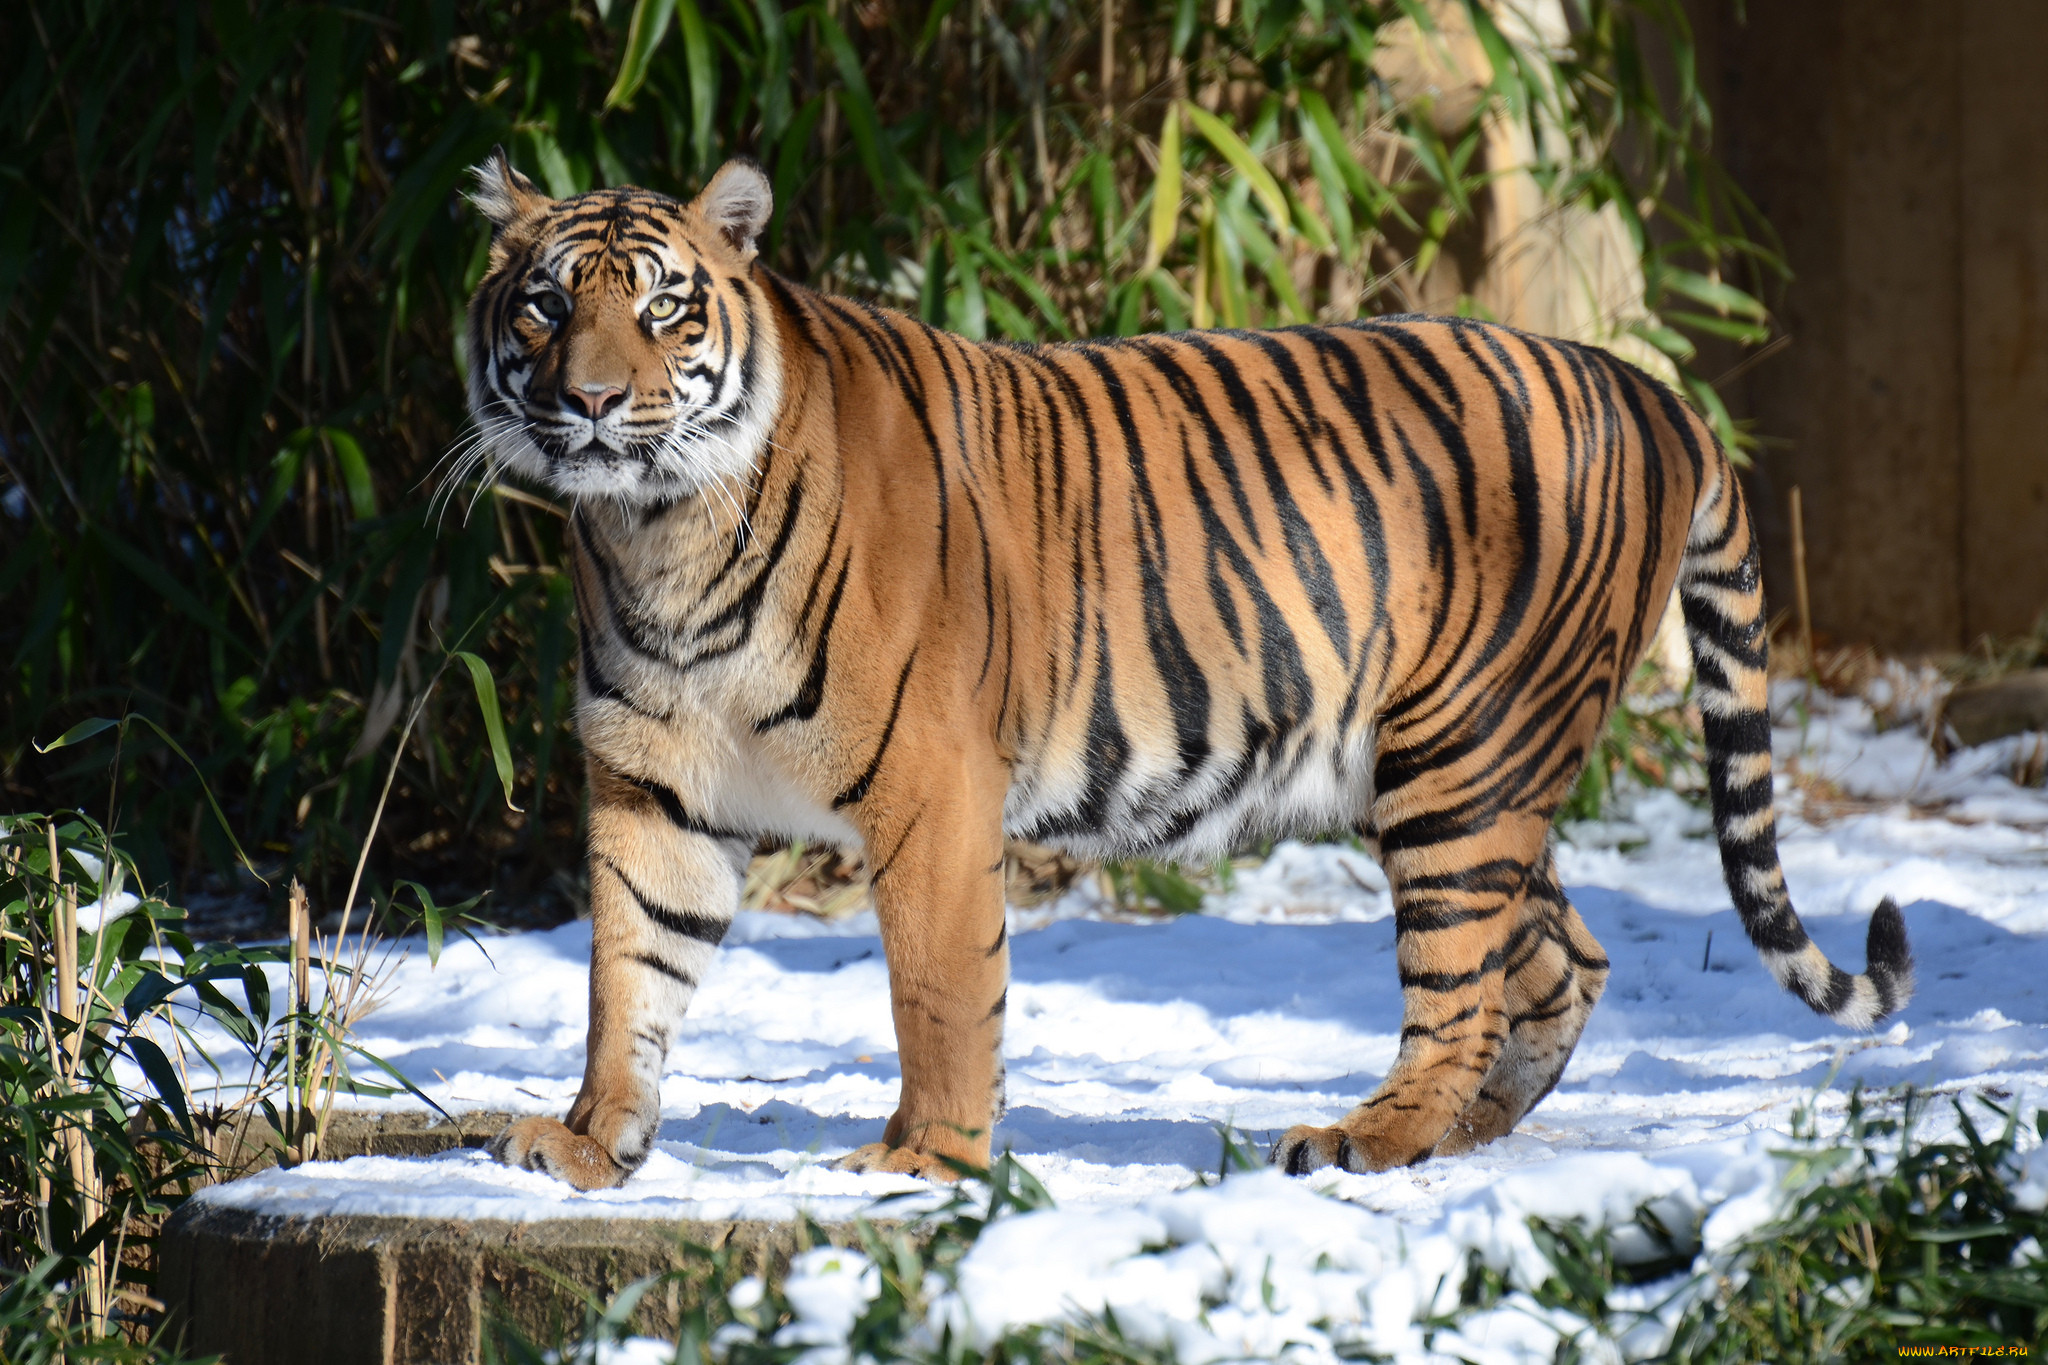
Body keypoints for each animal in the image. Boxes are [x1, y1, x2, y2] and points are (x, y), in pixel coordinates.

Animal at [460, 154, 1900, 1186]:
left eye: (663, 307)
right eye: (545, 303)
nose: (592, 402)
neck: (657, 529)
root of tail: (1653, 392)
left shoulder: (930, 790)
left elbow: (939, 990)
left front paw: (925, 1159)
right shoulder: (655, 787)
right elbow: (627, 973)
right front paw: (587, 1140)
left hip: (1463, 759)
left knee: (1463, 980)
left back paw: (1370, 1137)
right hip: (1449, 773)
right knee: (1559, 958)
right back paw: (1464, 1132)